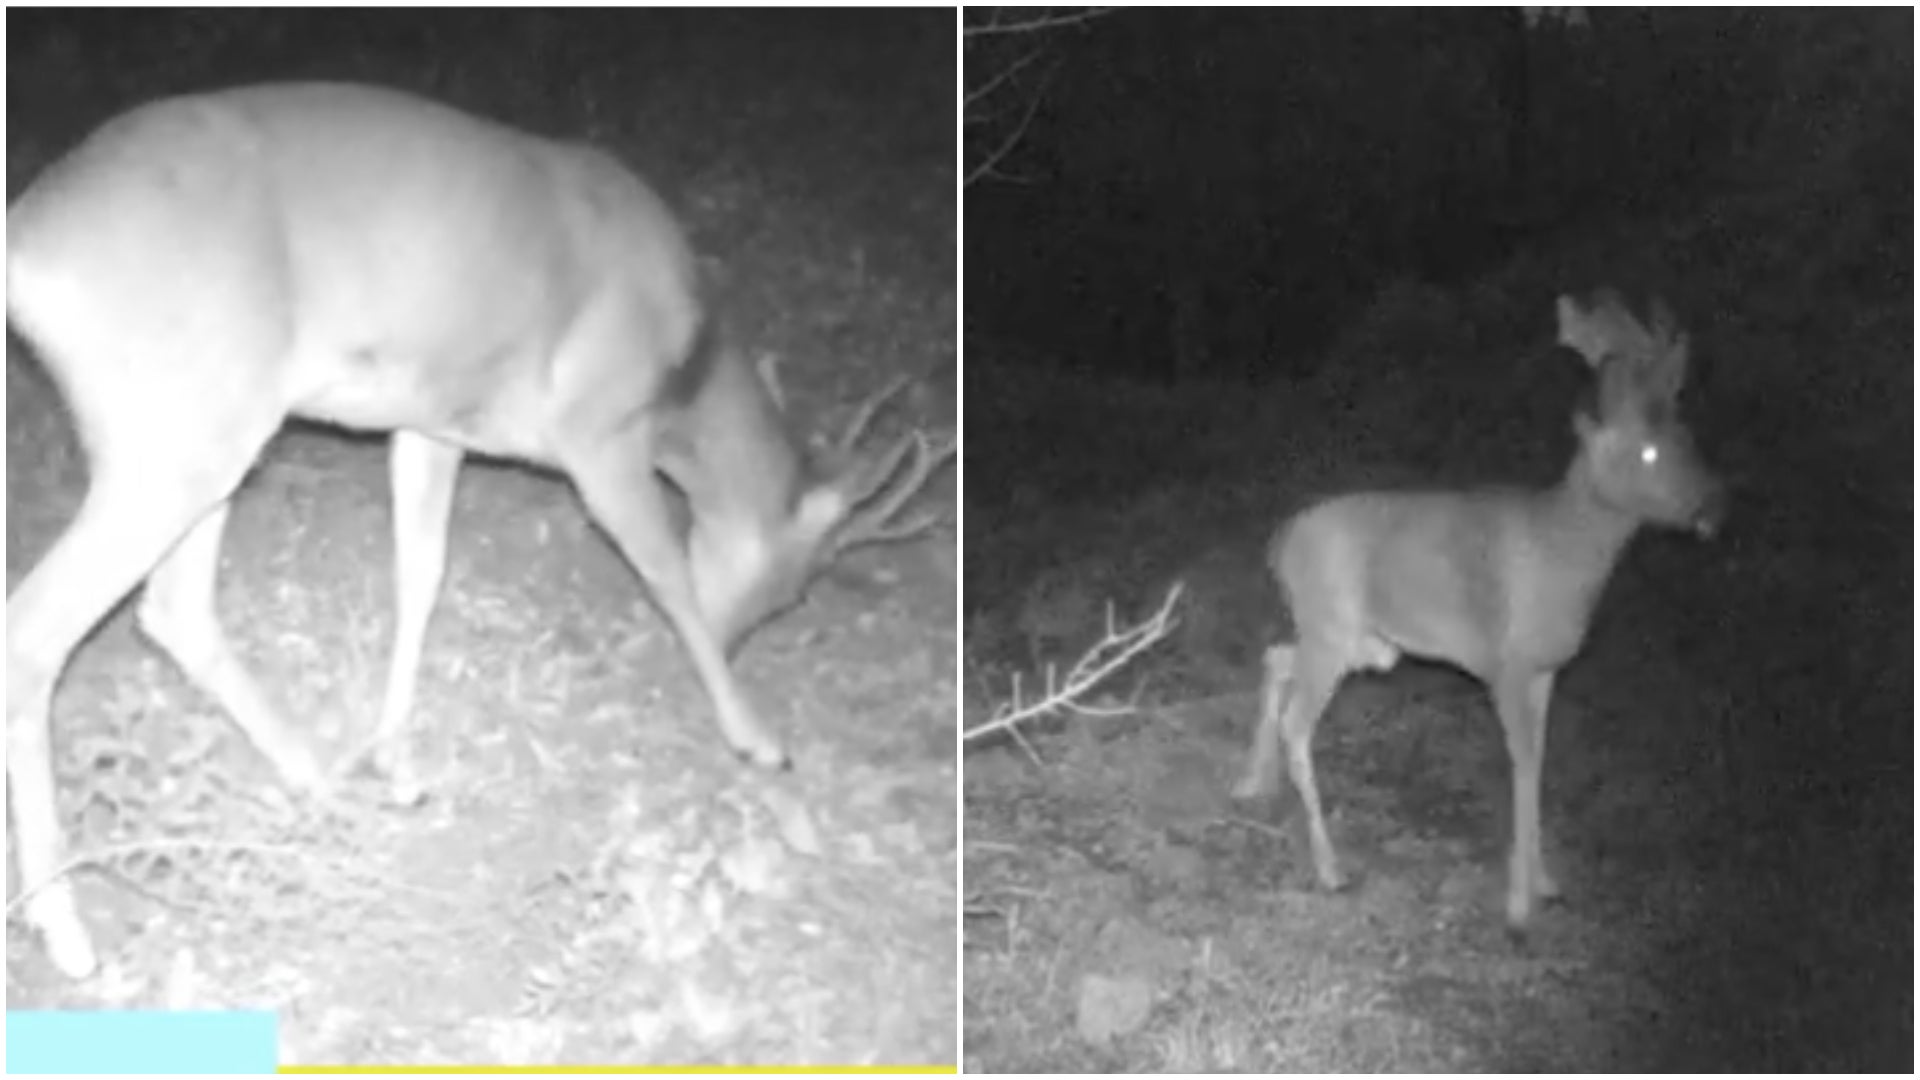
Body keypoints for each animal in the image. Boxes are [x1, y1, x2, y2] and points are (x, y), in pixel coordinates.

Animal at [5, 84, 952, 976]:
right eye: (797, 585)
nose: (741, 633)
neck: (685, 367)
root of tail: (26, 249)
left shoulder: (433, 424)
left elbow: (420, 573)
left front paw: (395, 762)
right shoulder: (600, 434)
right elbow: (665, 574)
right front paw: (762, 747)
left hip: (208, 435)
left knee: (174, 607)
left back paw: (321, 783)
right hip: (180, 434)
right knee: (38, 628)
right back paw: (66, 927)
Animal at [1236, 292, 1735, 926]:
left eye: (1688, 437)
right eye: (1647, 451)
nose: (1716, 507)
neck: (1562, 553)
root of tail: (1278, 542)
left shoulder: (1547, 670)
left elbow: (1540, 760)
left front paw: (1545, 880)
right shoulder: (1508, 662)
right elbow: (1521, 763)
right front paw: (1519, 904)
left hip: (1355, 641)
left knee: (1274, 656)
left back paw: (1253, 782)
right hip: (1333, 629)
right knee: (1297, 720)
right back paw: (1330, 868)